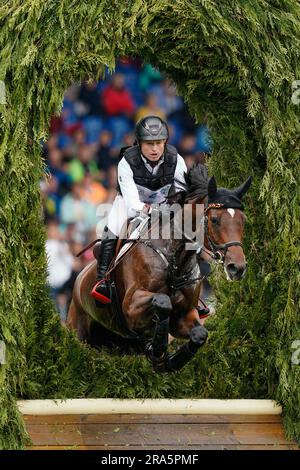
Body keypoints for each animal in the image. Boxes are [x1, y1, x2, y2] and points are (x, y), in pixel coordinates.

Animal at [67, 164, 252, 370]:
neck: (174, 260)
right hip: (78, 328)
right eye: (214, 220)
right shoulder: (130, 308)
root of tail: (79, 278)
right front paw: (157, 349)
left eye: (243, 220)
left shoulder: (184, 315)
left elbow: (199, 335)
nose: (237, 267)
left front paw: (166, 361)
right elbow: (163, 301)